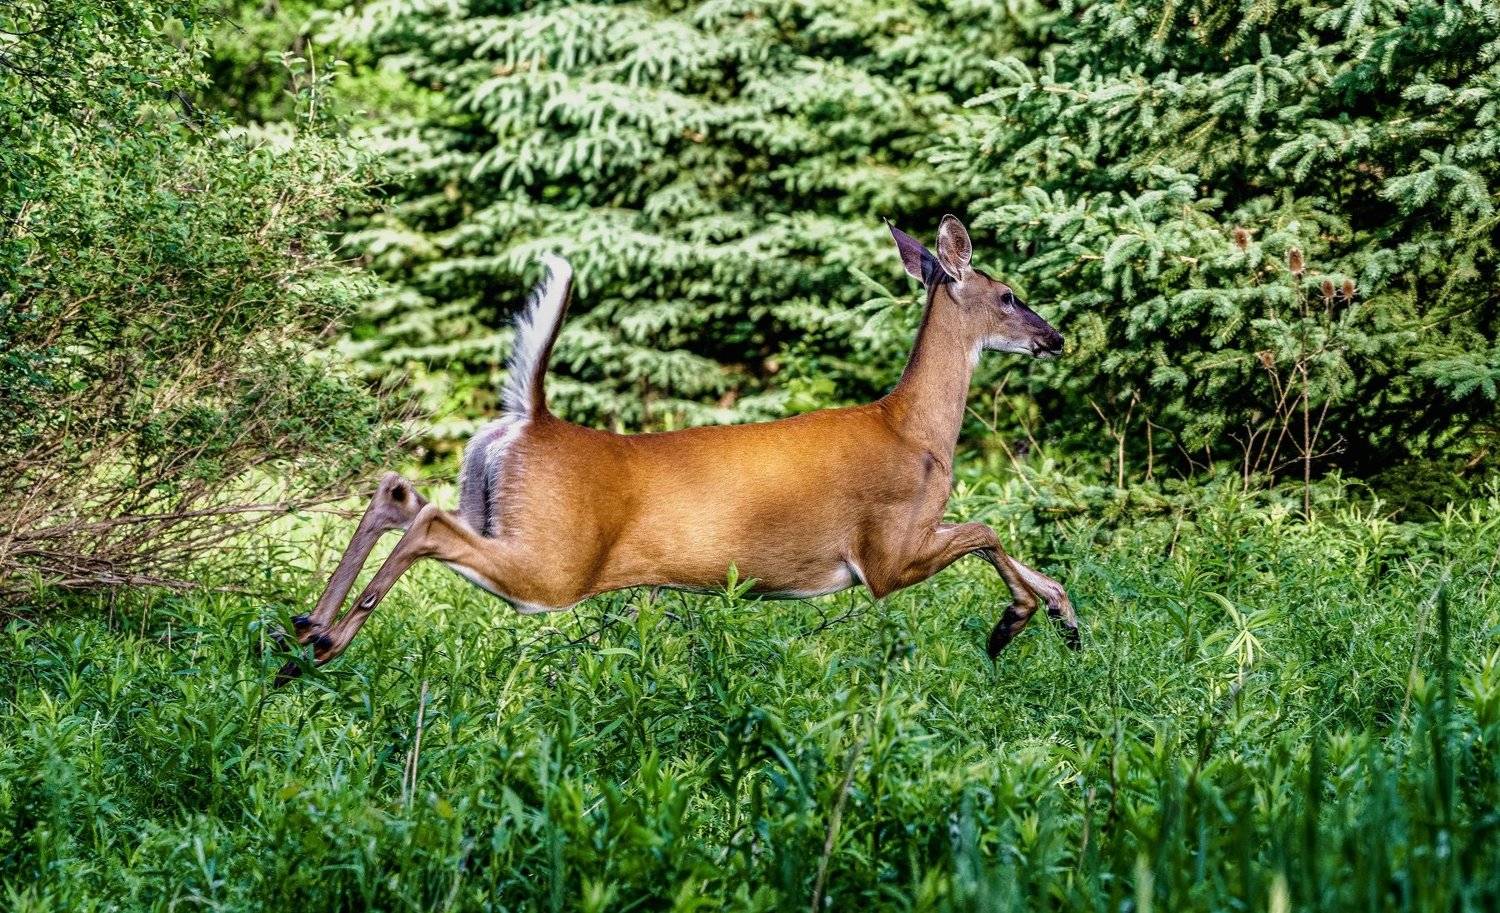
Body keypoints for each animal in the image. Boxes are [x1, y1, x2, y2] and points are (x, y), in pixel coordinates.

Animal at [276, 215, 1077, 685]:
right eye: (1009, 294)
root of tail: (531, 419)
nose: (1056, 338)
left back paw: (306, 629)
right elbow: (987, 529)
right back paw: (329, 638)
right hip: (553, 564)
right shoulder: (885, 551)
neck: (914, 431)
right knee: (427, 521)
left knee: (399, 492)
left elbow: (1000, 541)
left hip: (502, 518)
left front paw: (1058, 616)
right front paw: (1016, 622)